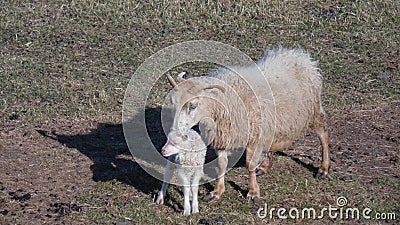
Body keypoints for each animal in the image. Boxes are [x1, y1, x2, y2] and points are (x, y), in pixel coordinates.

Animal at [165, 47, 332, 202]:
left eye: (193, 106)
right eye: (173, 103)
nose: (175, 131)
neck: (224, 102)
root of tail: (298, 56)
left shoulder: (254, 136)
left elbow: (250, 165)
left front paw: (253, 192)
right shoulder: (224, 137)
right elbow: (221, 165)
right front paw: (217, 192)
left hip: (313, 111)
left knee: (323, 133)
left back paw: (323, 168)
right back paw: (264, 166)